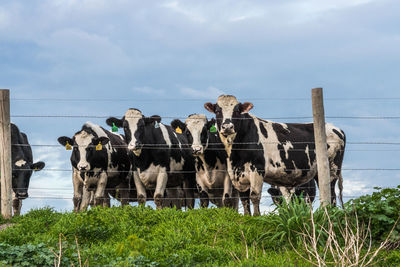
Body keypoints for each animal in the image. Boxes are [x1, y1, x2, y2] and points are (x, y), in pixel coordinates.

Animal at [205, 95, 346, 217]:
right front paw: (247, 217)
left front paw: (257, 217)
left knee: (332, 197)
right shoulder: (236, 175)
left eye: (237, 111)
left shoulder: (257, 169)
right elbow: (244, 199)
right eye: (217, 111)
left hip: (332, 169)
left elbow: (254, 196)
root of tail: (336, 128)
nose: (227, 126)